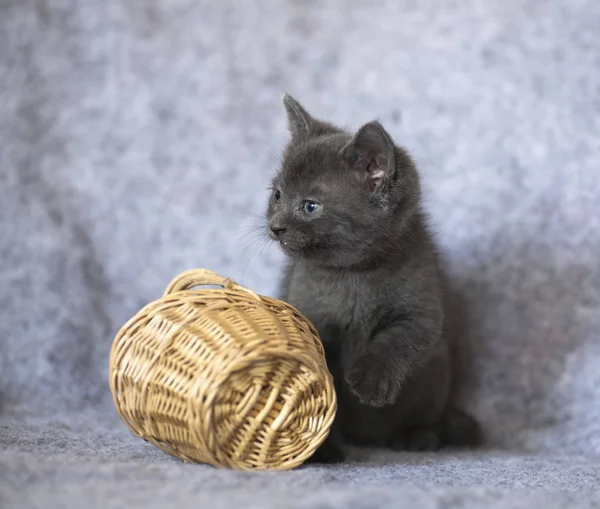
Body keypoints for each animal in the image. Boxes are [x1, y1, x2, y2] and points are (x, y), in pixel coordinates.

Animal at [266, 93, 478, 462]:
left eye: (310, 206)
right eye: (277, 195)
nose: (275, 226)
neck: (354, 274)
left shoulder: (421, 307)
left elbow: (399, 338)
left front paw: (371, 382)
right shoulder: (306, 305)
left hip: (437, 371)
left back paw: (419, 437)